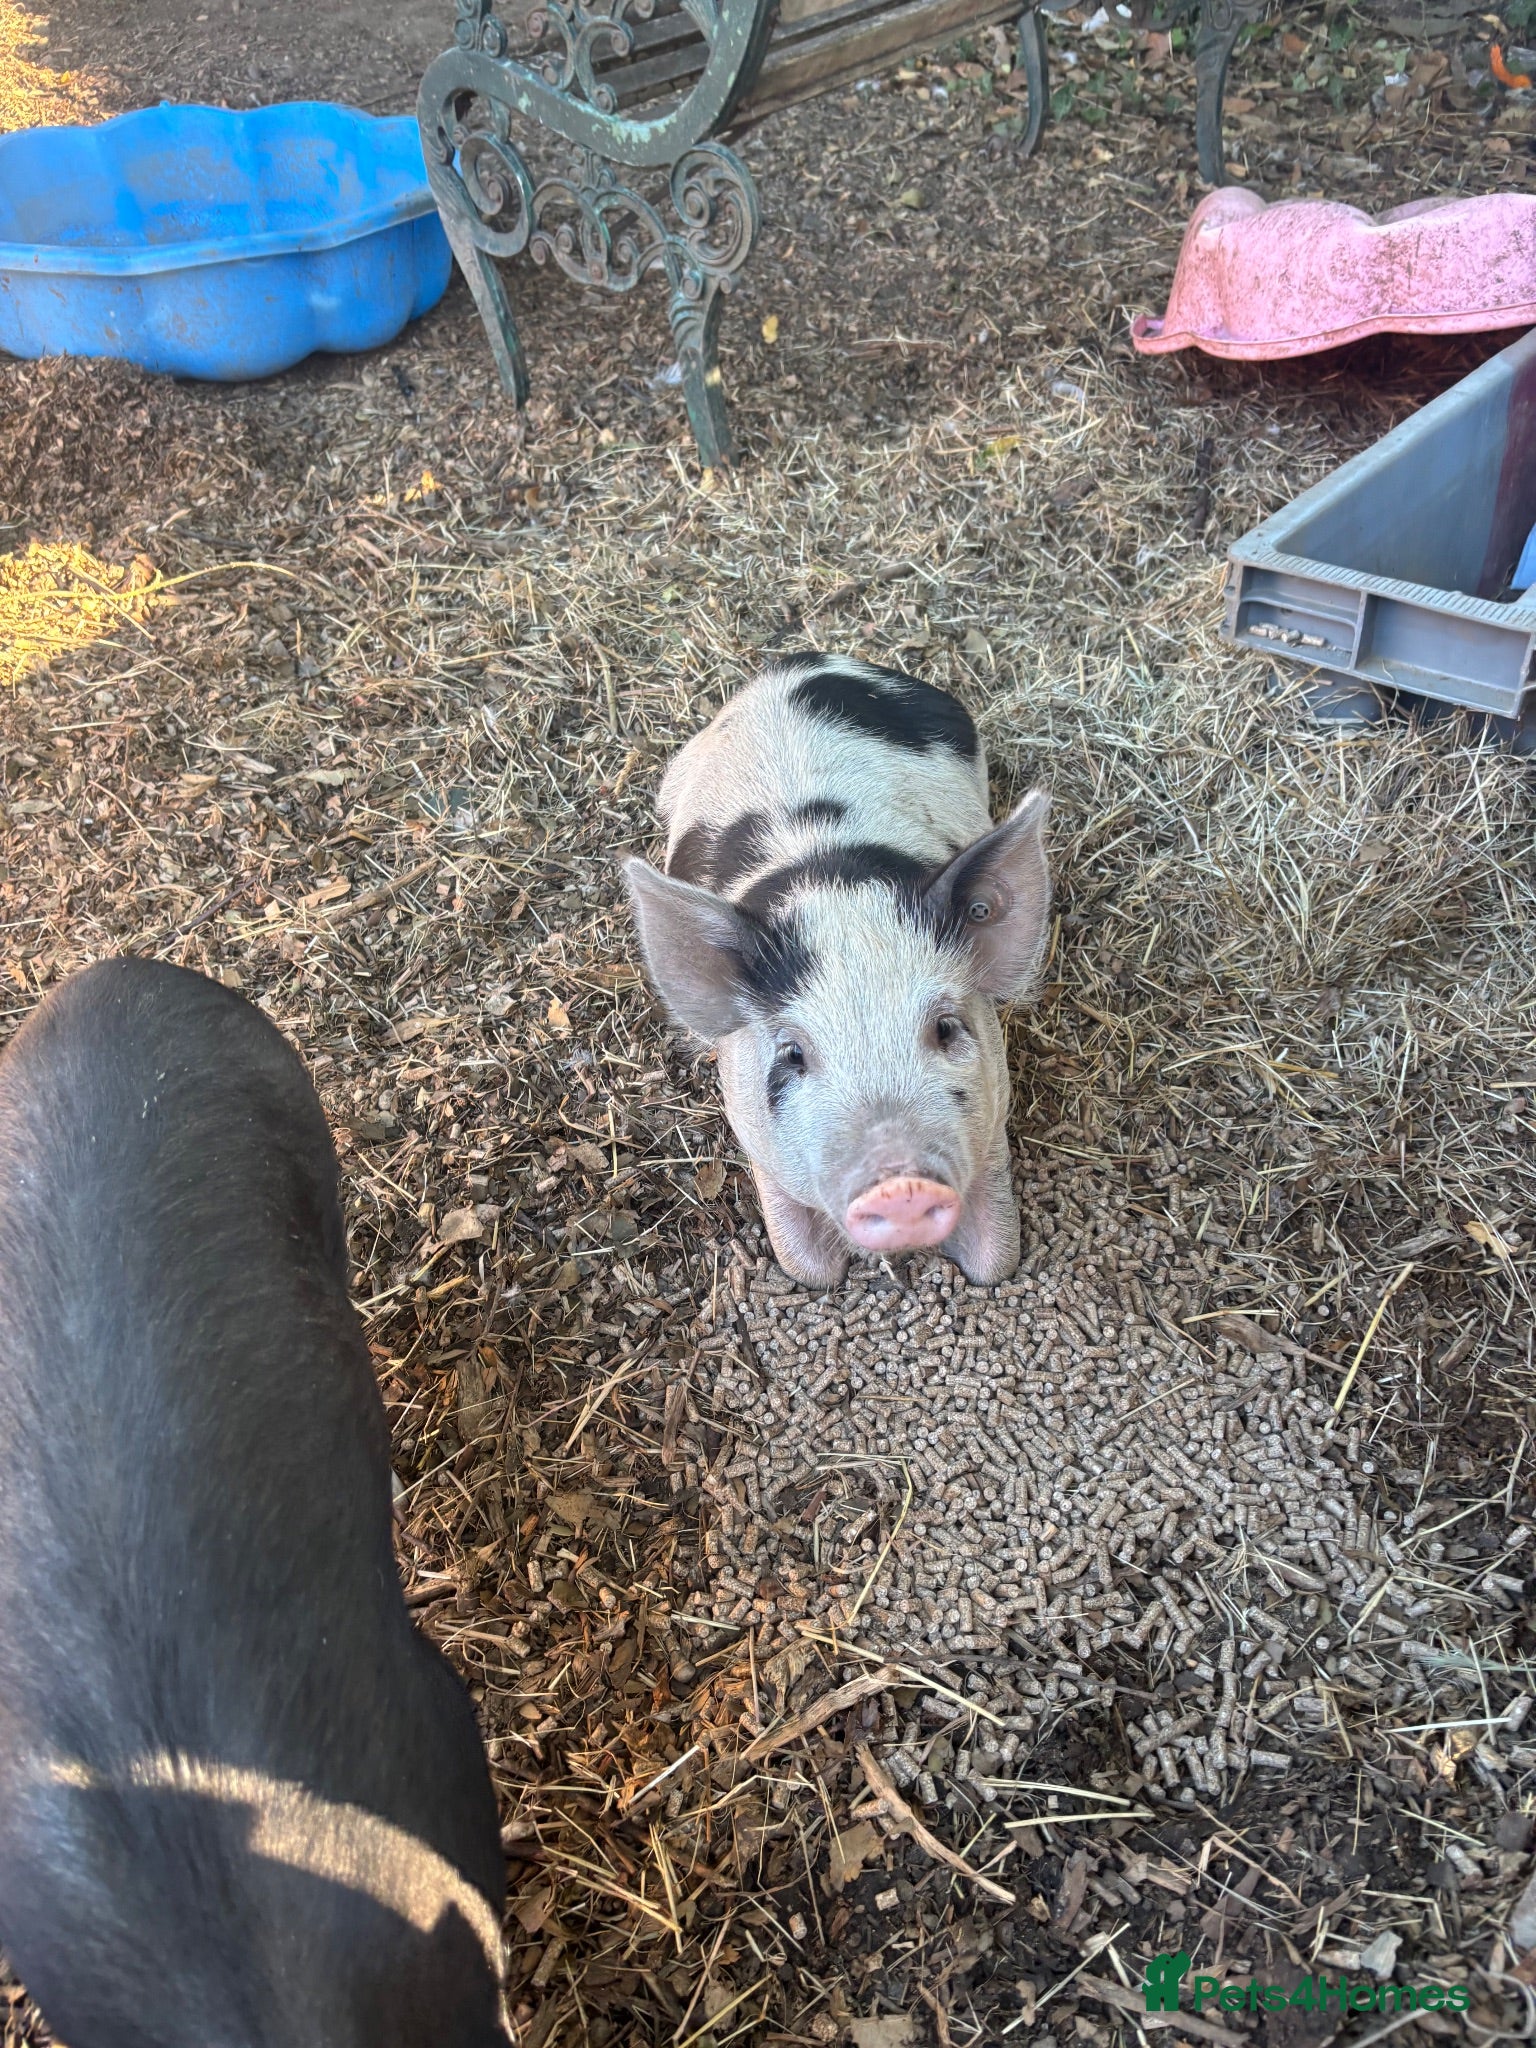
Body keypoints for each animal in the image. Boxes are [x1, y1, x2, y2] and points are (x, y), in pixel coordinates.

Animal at [623, 653, 1051, 1288]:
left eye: (946, 1027)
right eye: (793, 1053)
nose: (900, 1185)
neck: (832, 885)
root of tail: (803, 661)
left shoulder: (994, 1106)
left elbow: (997, 1261)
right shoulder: (750, 1123)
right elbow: (806, 1267)